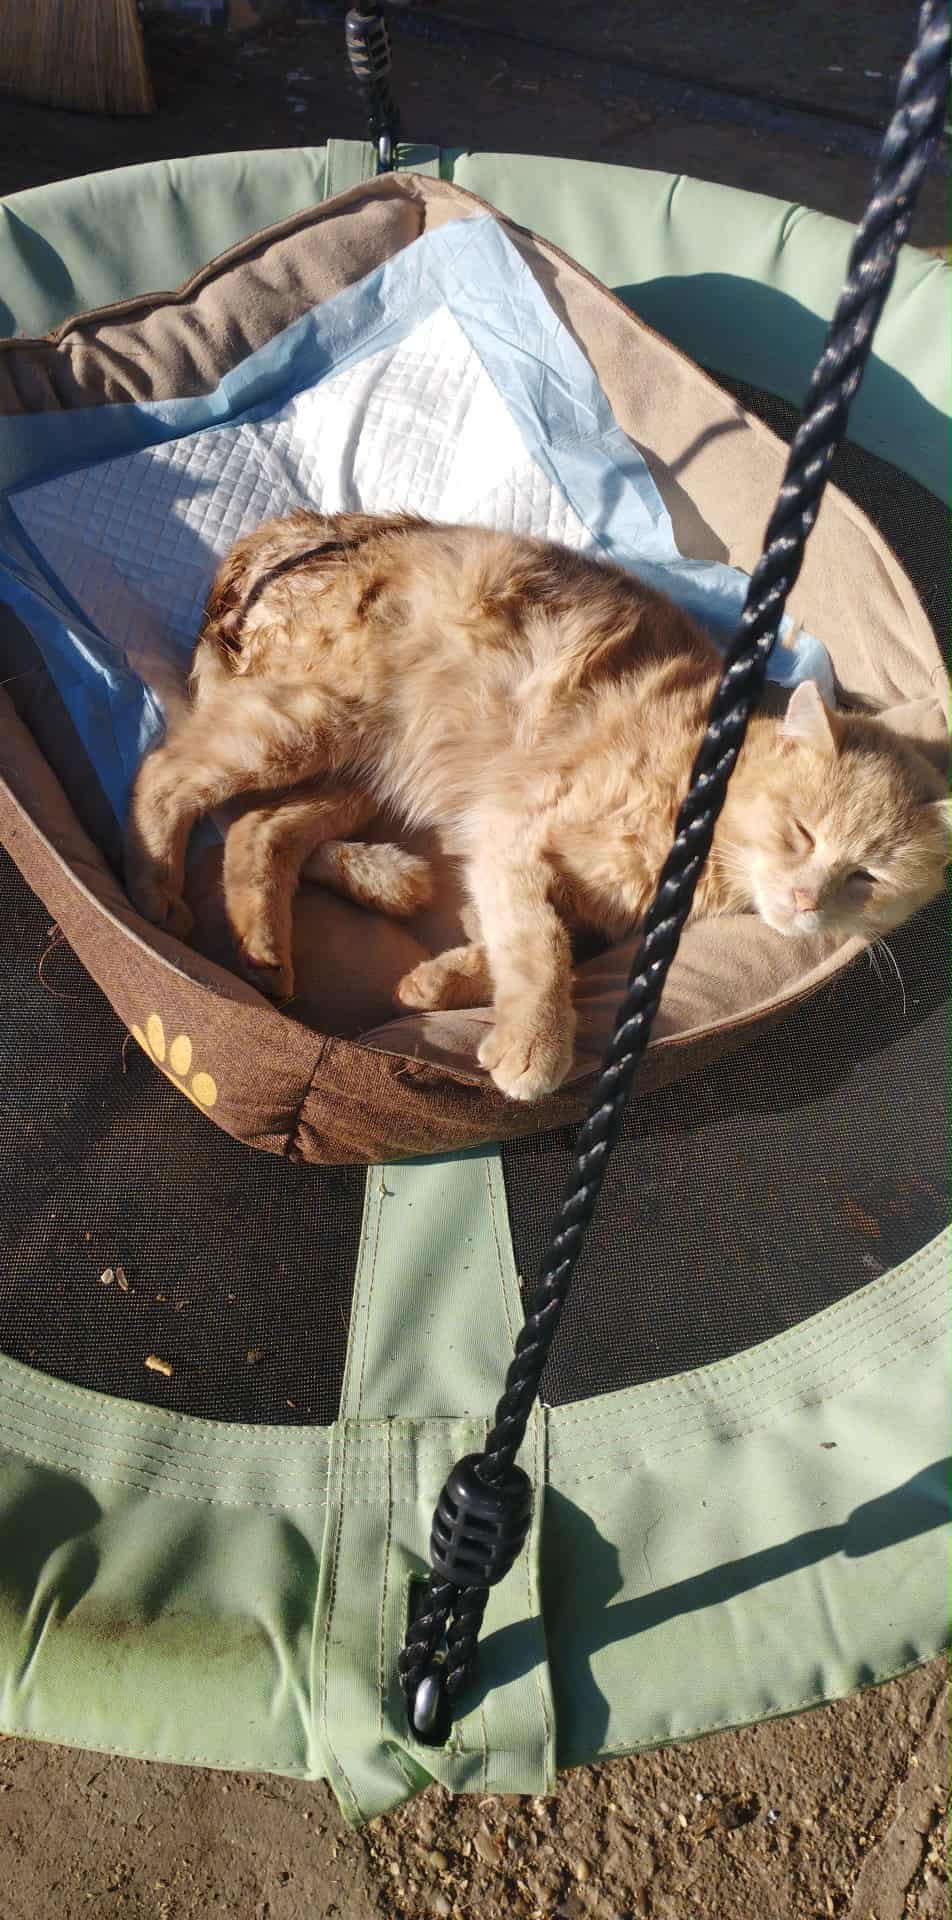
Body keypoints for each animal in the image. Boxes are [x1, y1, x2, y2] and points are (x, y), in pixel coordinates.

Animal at [125, 510, 951, 1102]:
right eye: (801, 833)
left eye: (867, 879)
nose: (809, 901)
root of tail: (294, 530)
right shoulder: (511, 834)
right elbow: (541, 943)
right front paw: (534, 1044)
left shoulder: (551, 883)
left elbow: (526, 940)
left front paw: (446, 977)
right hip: (305, 722)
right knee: (165, 775)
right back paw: (157, 889)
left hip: (363, 764)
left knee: (258, 830)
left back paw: (302, 929)